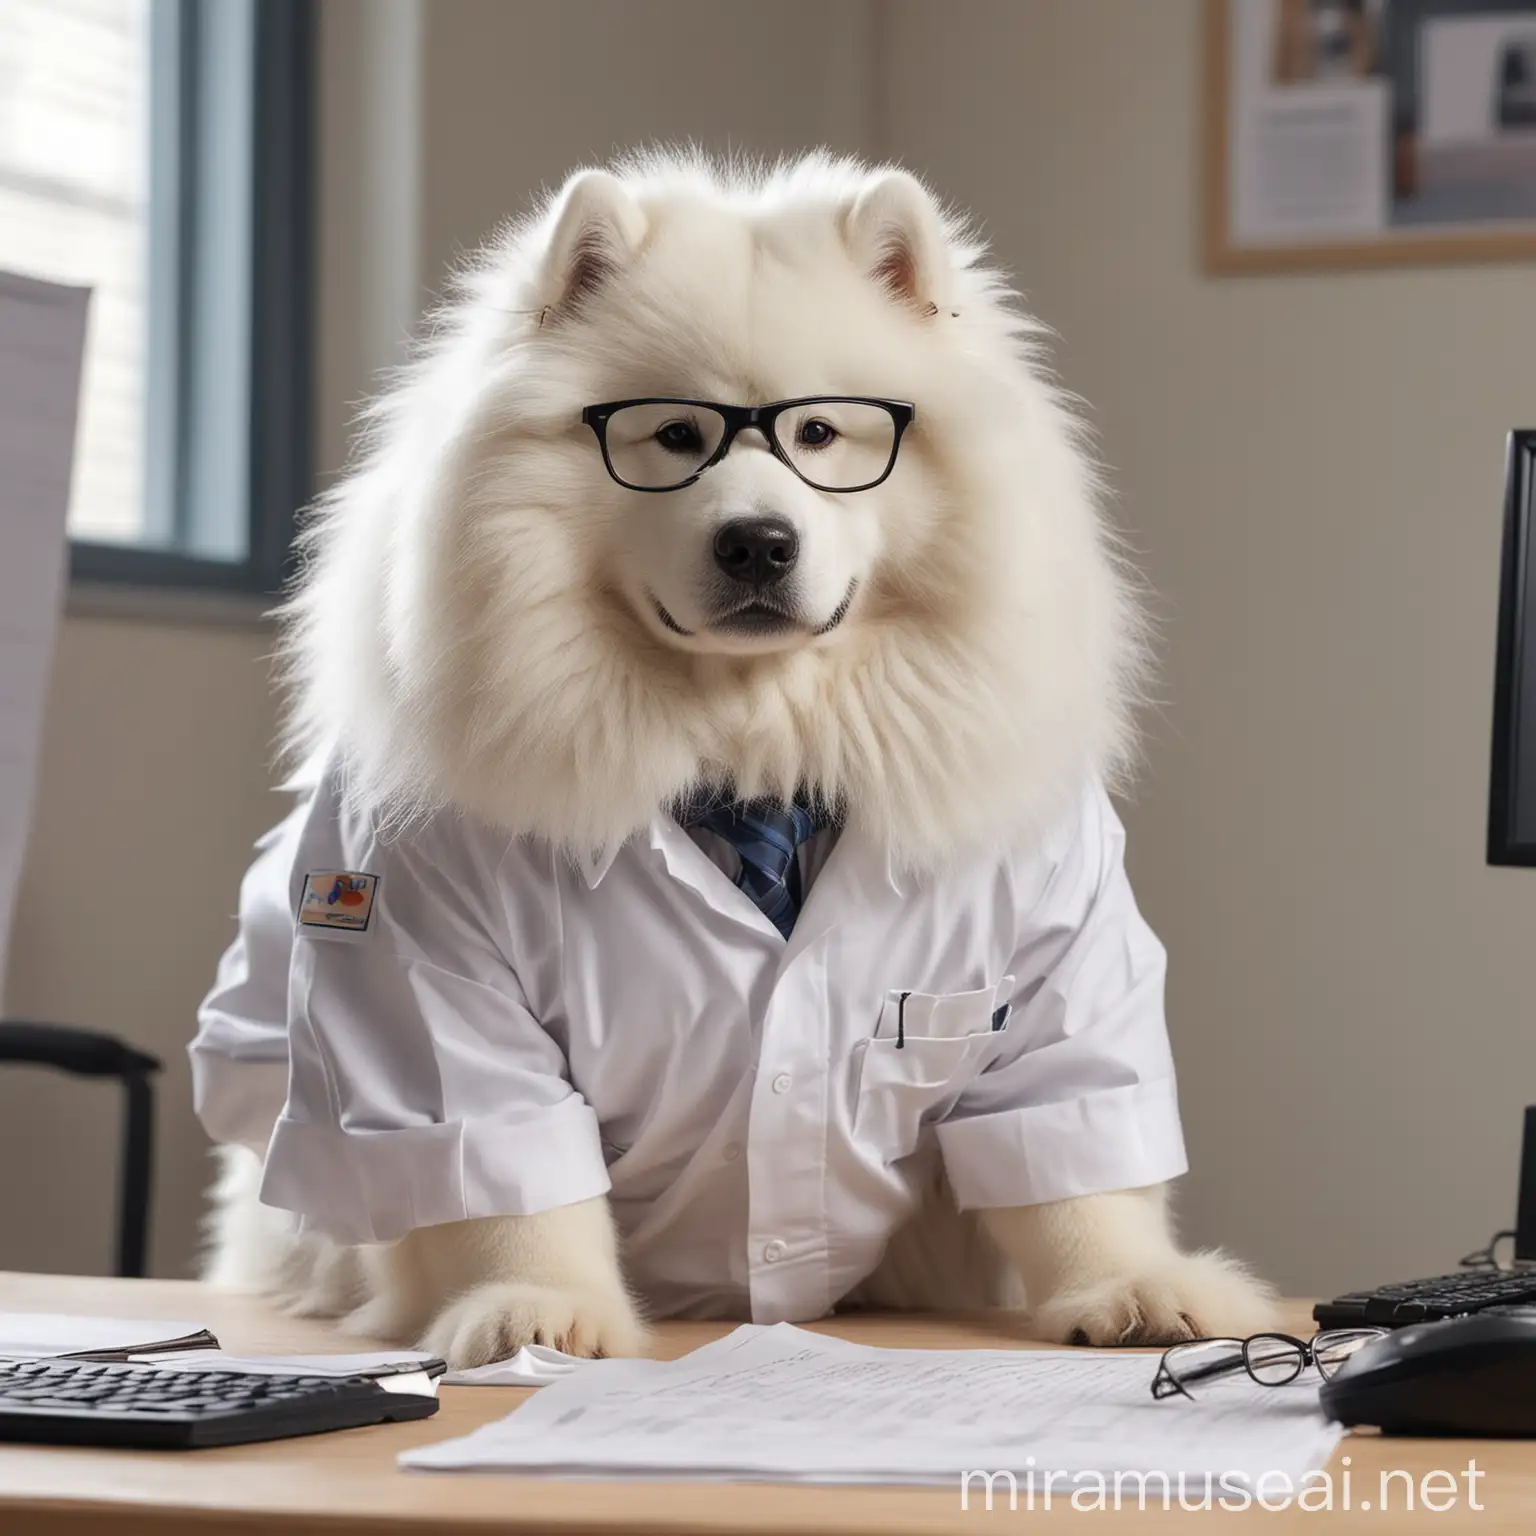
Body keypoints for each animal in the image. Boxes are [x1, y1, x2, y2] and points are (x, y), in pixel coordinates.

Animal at [198, 149, 1277, 1363]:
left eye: (822, 436)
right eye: (673, 437)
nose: (758, 542)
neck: (752, 742)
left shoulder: (1062, 952)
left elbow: (1072, 1153)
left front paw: (1136, 1287)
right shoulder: (423, 964)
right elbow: (503, 1174)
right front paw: (539, 1312)